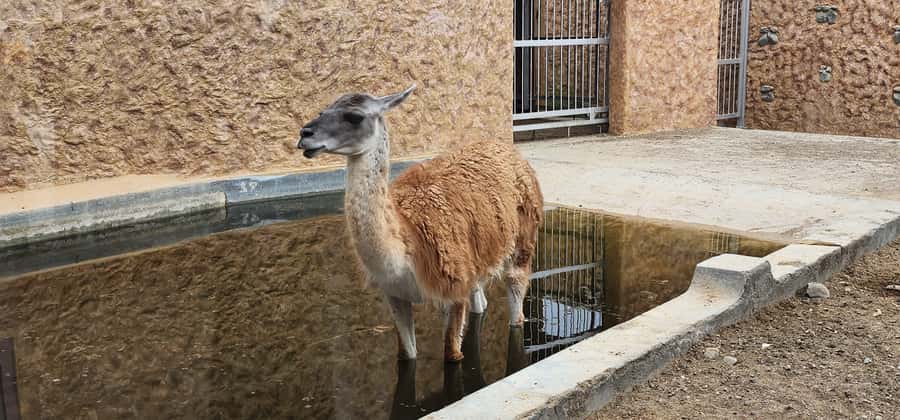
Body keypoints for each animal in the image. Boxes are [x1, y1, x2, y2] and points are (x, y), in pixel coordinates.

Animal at [297, 85, 543, 361]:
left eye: (354, 116)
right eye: (323, 110)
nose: (305, 134)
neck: (404, 246)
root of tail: (507, 149)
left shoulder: (452, 289)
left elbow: (452, 354)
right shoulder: (395, 295)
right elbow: (407, 354)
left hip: (522, 239)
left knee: (516, 301)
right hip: (476, 257)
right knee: (481, 302)